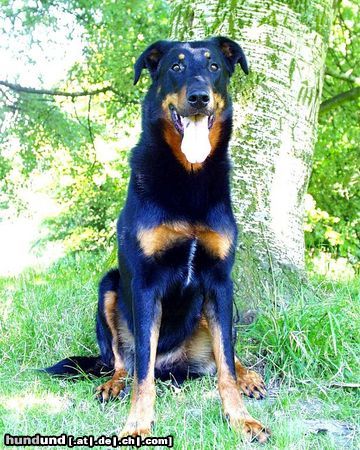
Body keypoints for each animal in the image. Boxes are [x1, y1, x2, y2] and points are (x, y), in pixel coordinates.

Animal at [45, 36, 270, 442]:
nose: (198, 98)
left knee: (227, 355)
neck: (189, 177)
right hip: (110, 287)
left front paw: (241, 419)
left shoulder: (220, 282)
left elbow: (226, 368)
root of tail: (175, 364)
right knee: (124, 362)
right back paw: (113, 384)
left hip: (217, 308)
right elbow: (142, 376)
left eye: (214, 65)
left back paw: (249, 376)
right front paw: (137, 424)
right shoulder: (145, 284)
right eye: (176, 67)